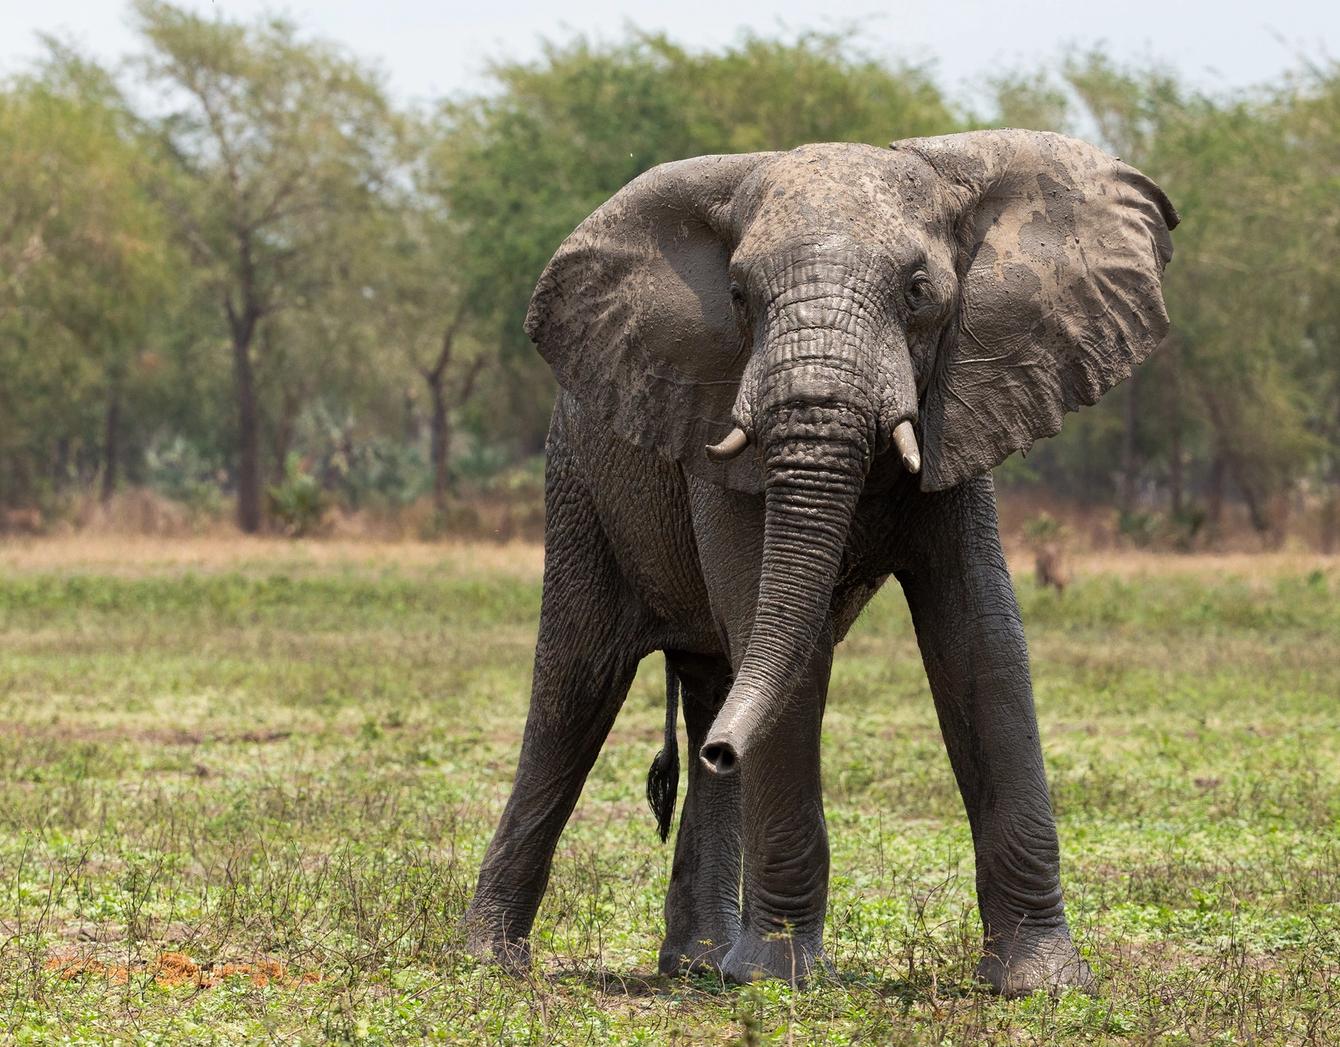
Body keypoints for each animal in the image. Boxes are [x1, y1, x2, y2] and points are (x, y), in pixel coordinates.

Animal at [462, 130, 1177, 995]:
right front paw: (777, 977)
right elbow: (785, 648)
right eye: (738, 297)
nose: (726, 747)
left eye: (918, 290)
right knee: (576, 689)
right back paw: (492, 958)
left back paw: (699, 960)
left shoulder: (962, 406)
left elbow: (983, 643)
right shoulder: (717, 432)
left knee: (712, 683)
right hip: (578, 484)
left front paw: (1040, 983)